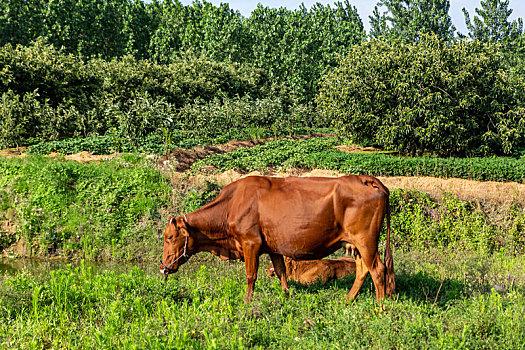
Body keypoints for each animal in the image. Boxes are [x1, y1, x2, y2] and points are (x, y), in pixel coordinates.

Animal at [160, 176, 392, 302]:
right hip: (358, 245)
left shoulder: (250, 243)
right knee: (363, 270)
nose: (163, 267)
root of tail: (365, 179)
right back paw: (348, 300)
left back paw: (380, 307)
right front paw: (286, 295)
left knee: (378, 270)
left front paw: (247, 301)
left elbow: (251, 275)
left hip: (366, 241)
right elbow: (281, 271)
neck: (231, 204)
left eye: (169, 236)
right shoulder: (273, 247)